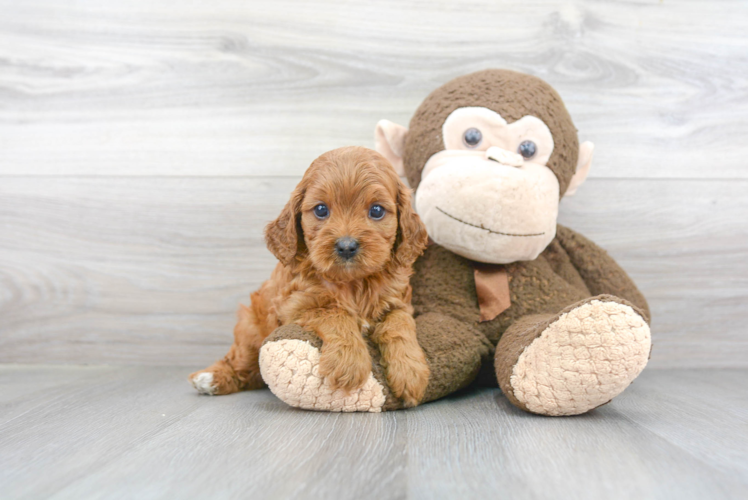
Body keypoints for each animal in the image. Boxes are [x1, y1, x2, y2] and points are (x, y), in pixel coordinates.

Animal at [190, 145, 430, 406]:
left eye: (376, 210)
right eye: (321, 210)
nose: (347, 246)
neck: (353, 283)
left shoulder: (398, 302)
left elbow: (400, 324)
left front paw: (410, 371)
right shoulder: (295, 305)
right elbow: (335, 312)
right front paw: (348, 362)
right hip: (249, 329)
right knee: (241, 365)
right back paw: (210, 379)